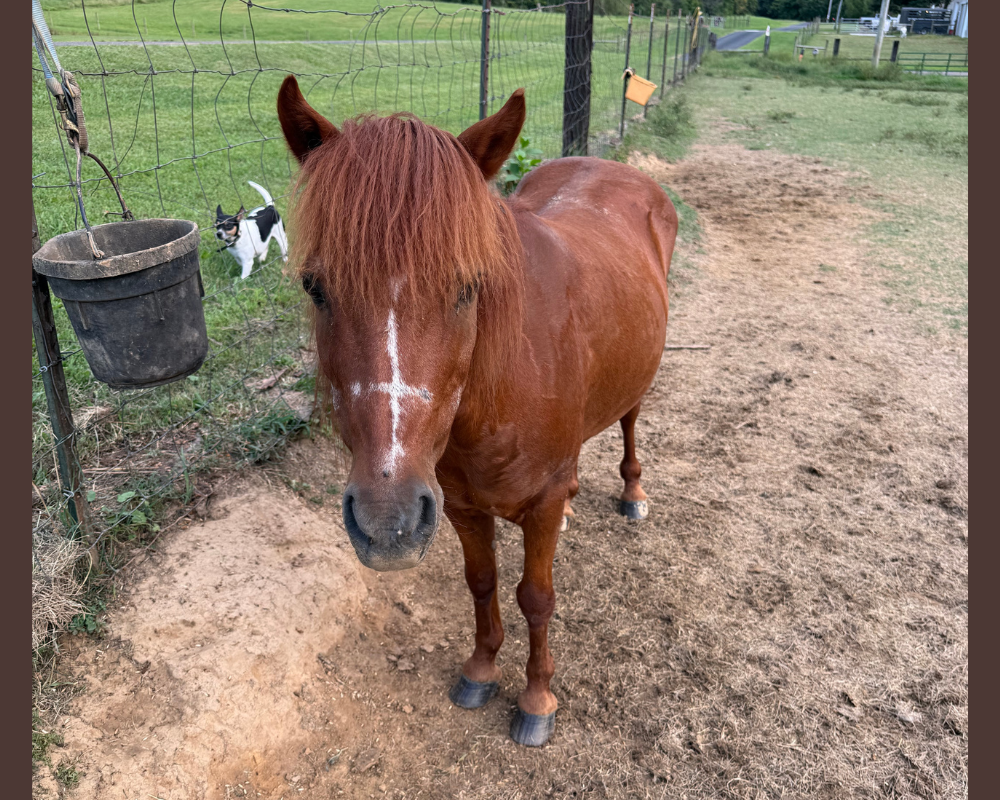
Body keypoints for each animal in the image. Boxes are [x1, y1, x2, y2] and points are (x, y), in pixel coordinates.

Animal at [276, 76, 677, 746]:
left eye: (468, 288)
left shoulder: (537, 506)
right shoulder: (459, 504)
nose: (386, 525)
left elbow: (536, 596)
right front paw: (481, 669)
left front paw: (537, 699)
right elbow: (482, 582)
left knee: (630, 420)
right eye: (315, 286)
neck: (498, 393)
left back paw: (633, 492)